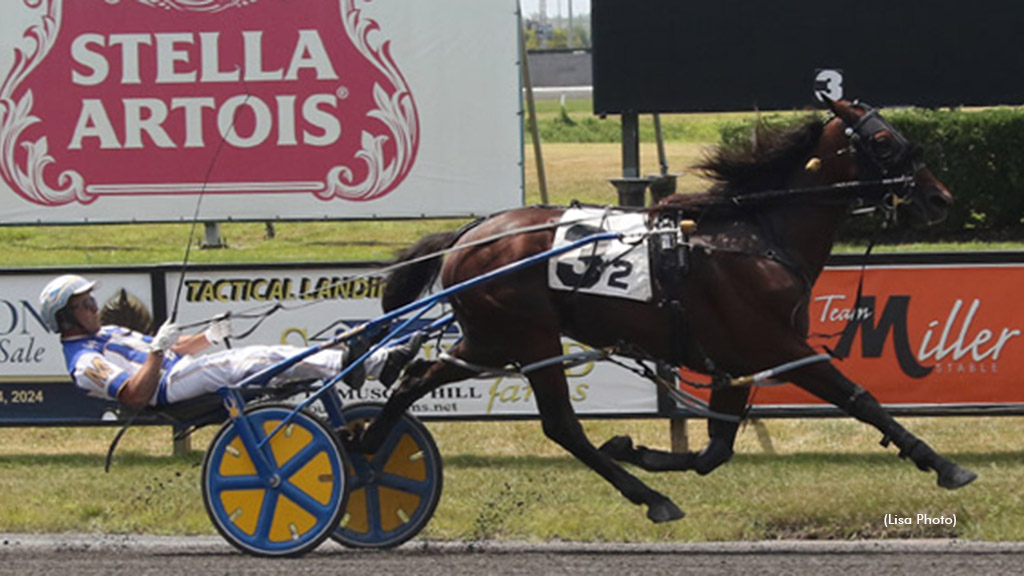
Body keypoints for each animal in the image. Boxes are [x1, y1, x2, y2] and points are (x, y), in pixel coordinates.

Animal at [360, 98, 974, 520]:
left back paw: (364, 445)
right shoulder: (776, 346)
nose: (940, 198)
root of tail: (471, 233)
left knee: (417, 375)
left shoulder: (736, 361)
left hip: (488, 342)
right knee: (561, 425)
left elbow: (715, 450)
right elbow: (860, 399)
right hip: (529, 340)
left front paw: (635, 446)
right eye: (884, 141)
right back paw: (651, 498)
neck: (756, 234)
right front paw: (944, 464)